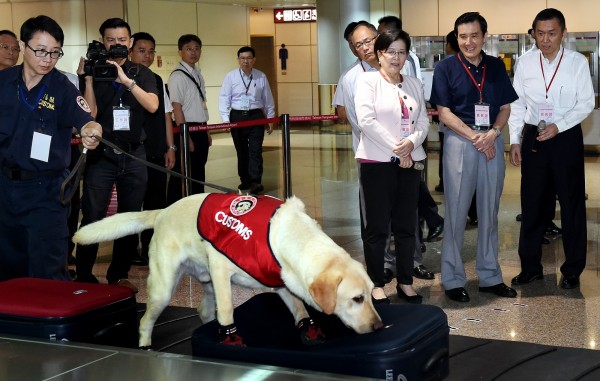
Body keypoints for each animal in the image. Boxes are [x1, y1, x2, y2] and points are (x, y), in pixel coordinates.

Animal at [72, 193, 382, 348]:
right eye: (357, 298)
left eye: (371, 295)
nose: (379, 327)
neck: (290, 236)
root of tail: (162, 211)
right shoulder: (222, 269)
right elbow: (227, 311)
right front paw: (230, 337)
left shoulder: (281, 280)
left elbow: (299, 308)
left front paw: (309, 328)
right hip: (164, 289)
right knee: (146, 320)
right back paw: (146, 346)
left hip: (204, 280)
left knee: (203, 311)